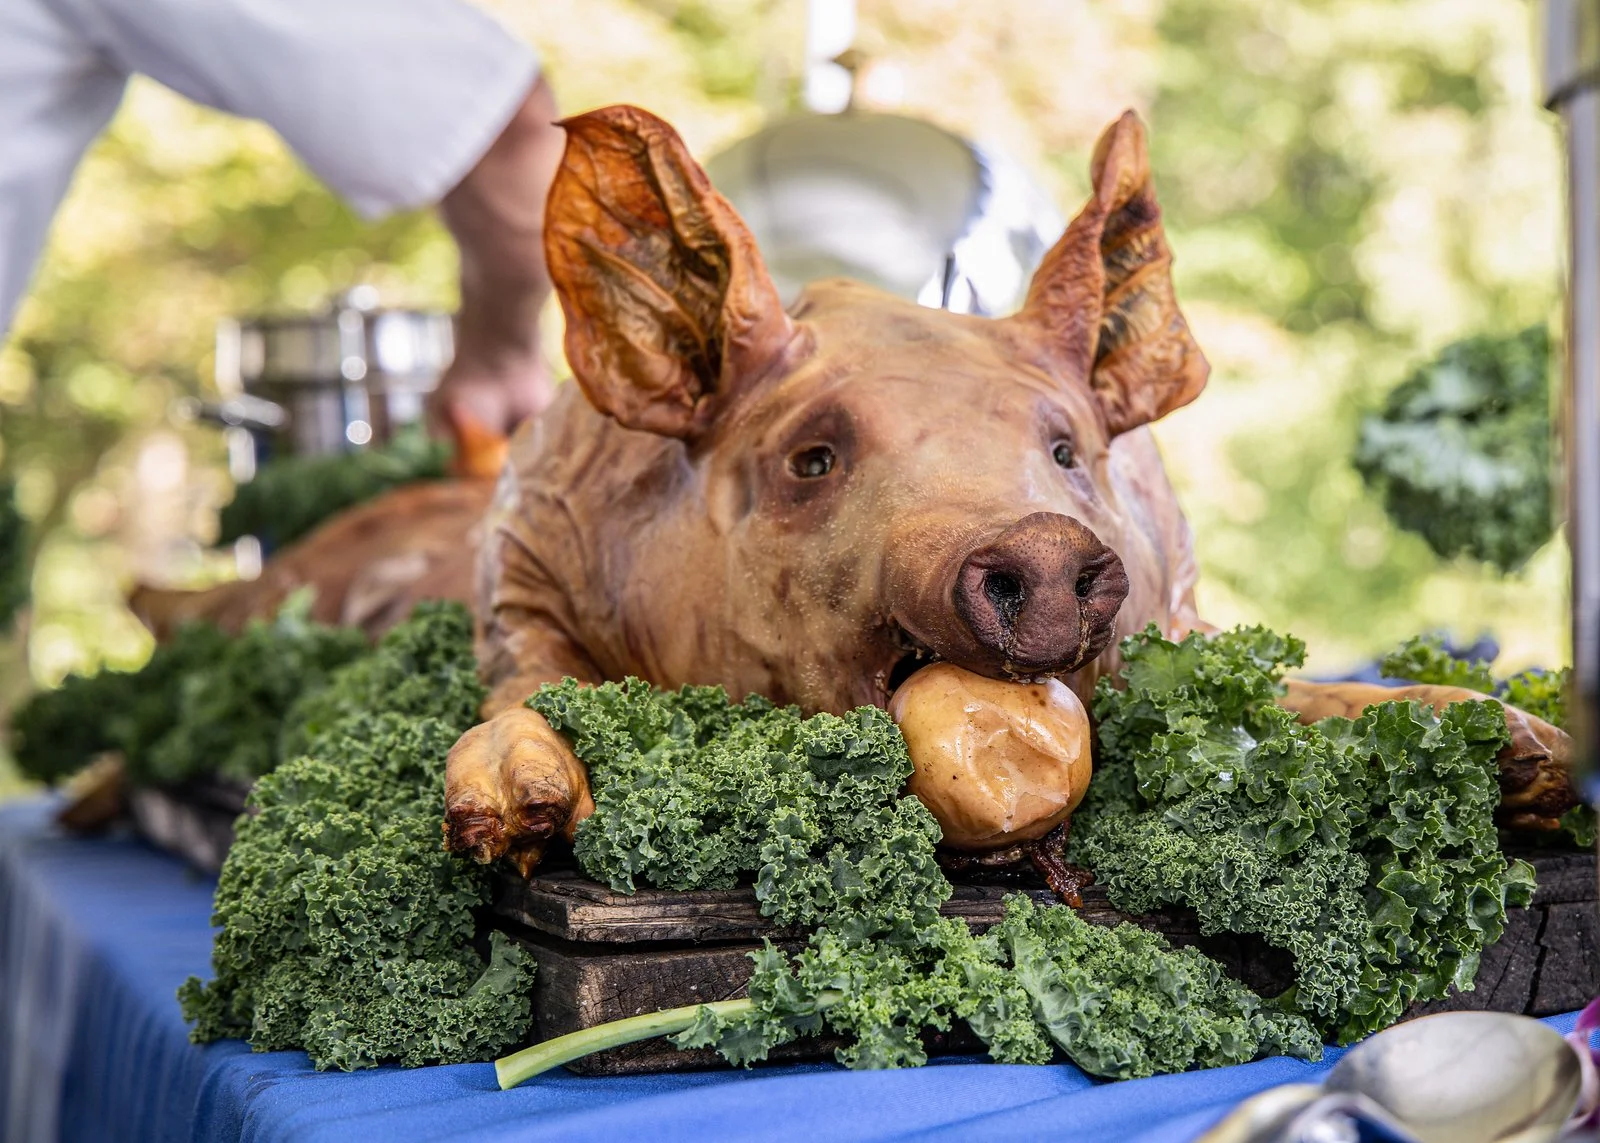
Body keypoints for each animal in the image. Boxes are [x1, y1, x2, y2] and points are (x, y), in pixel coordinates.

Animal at [440, 104, 1575, 877]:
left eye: (1066, 451)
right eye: (812, 457)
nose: (1035, 537)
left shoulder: (1186, 609)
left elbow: (1292, 685)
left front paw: (1522, 749)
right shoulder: (518, 561)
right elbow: (525, 674)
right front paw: (523, 814)